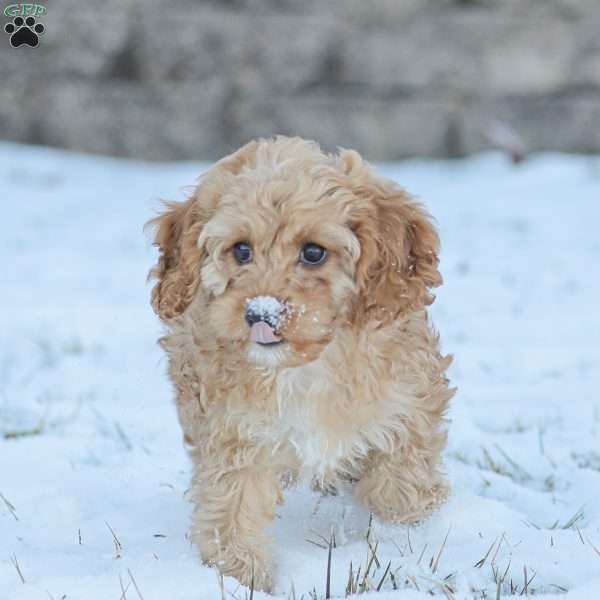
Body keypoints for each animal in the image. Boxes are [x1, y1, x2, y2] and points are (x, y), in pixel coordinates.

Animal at [146, 136, 454, 592]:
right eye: (241, 250)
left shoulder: (407, 406)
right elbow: (232, 505)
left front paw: (404, 535)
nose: (260, 312)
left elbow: (400, 481)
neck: (305, 367)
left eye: (313, 253)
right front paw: (240, 577)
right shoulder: (233, 429)